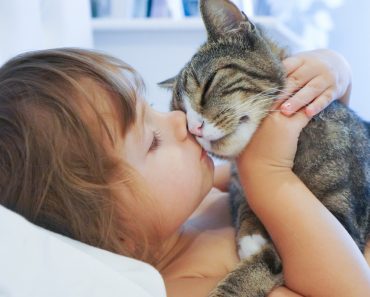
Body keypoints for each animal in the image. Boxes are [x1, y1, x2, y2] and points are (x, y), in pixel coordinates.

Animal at [159, 0, 370, 296]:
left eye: (209, 84)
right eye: (180, 114)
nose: (194, 128)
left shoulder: (343, 221)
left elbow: (267, 262)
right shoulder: (236, 183)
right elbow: (242, 201)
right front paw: (251, 233)